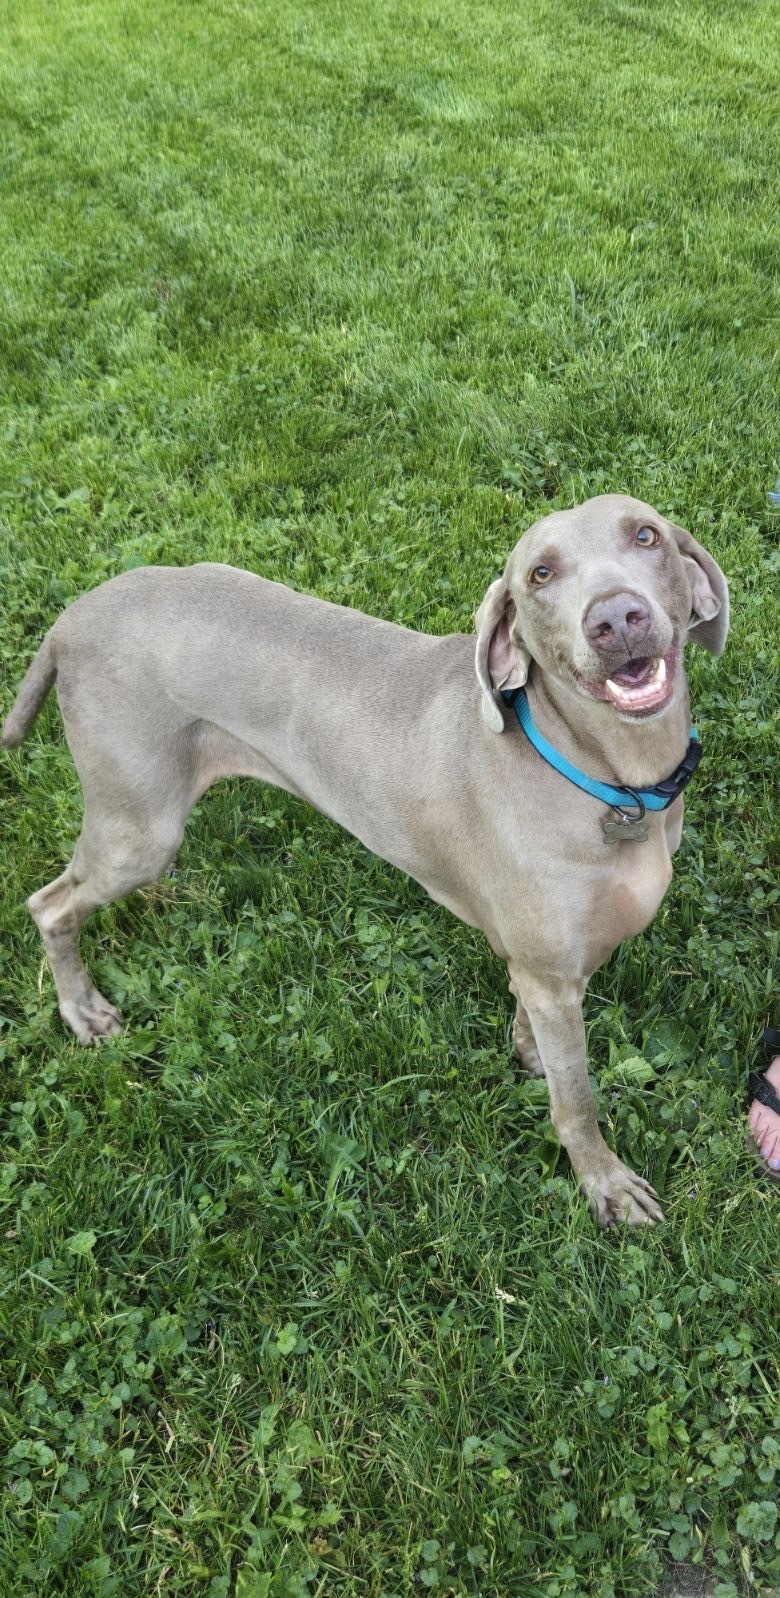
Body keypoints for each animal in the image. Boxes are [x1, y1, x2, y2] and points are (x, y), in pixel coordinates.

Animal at [3, 495, 728, 1220]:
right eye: (540, 574)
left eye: (645, 534)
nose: (616, 619)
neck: (606, 779)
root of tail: (73, 616)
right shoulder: (553, 978)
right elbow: (576, 1100)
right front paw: (606, 1184)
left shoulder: (545, 969)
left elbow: (535, 1028)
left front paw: (529, 1056)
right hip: (137, 832)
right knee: (50, 904)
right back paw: (82, 1010)